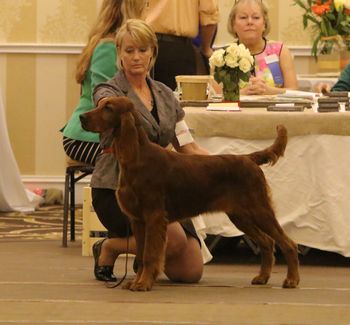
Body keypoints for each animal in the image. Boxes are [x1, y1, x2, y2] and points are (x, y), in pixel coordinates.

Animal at [80, 95, 300, 290]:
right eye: (99, 104)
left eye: (108, 108)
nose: (82, 117)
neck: (137, 157)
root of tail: (249, 158)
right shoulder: (137, 220)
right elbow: (141, 255)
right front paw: (136, 282)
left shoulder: (154, 217)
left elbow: (150, 255)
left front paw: (143, 283)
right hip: (241, 215)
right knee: (267, 242)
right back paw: (262, 277)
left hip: (259, 209)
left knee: (287, 243)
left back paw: (291, 280)